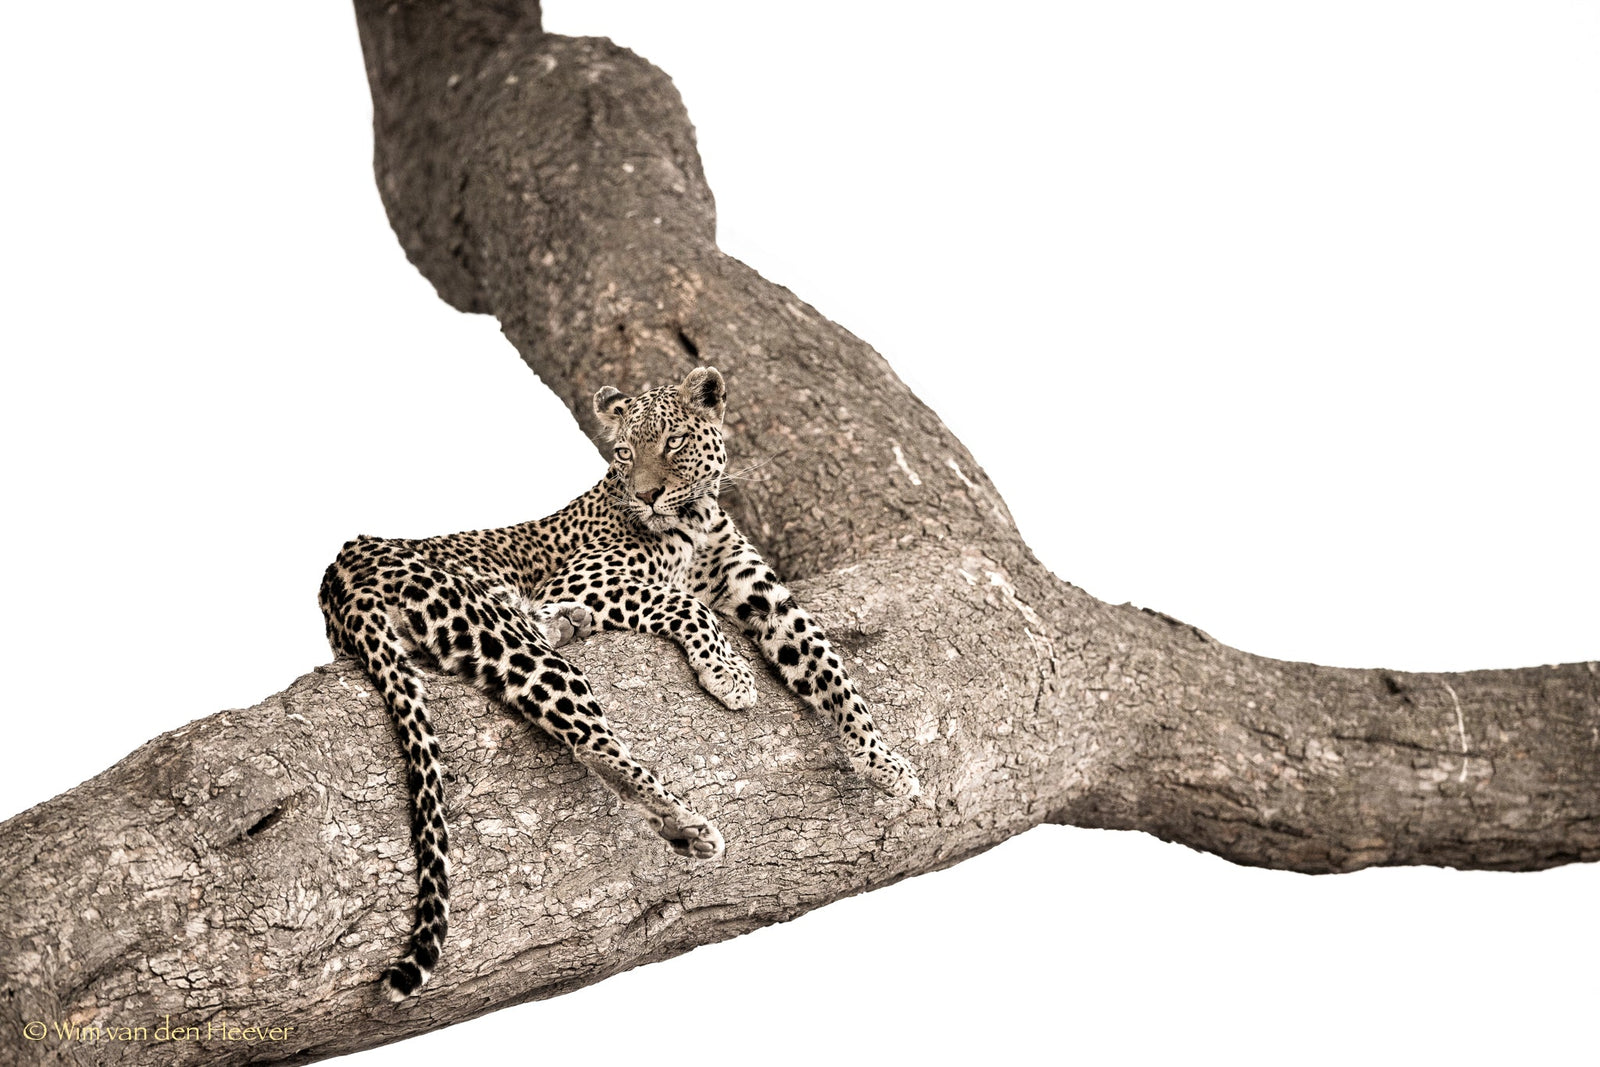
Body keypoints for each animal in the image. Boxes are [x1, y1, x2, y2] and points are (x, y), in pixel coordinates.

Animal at [318, 366, 921, 1002]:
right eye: (625, 452)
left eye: (674, 443)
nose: (647, 495)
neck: (695, 518)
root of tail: (340, 572)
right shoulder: (588, 581)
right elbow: (684, 603)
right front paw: (728, 673)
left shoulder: (768, 599)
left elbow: (829, 667)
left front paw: (883, 761)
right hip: (498, 627)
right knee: (590, 738)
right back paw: (683, 823)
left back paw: (570, 630)